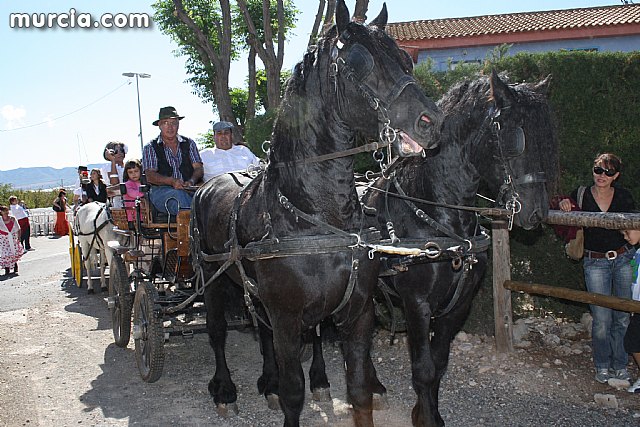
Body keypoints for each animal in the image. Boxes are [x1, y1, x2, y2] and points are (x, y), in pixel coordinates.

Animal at [188, 1, 442, 426]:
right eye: (358, 63)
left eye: (406, 58)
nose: (432, 121)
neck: (316, 218)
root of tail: (209, 184)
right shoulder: (288, 318)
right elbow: (294, 393)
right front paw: (279, 389)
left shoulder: (357, 314)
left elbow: (359, 391)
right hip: (212, 280)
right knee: (217, 331)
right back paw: (224, 389)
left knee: (261, 332)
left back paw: (267, 381)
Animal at [362, 72, 556, 426]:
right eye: (515, 137)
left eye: (545, 138)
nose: (536, 212)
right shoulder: (417, 304)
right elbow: (423, 369)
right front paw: (425, 416)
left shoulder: (459, 306)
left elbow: (438, 366)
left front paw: (429, 412)